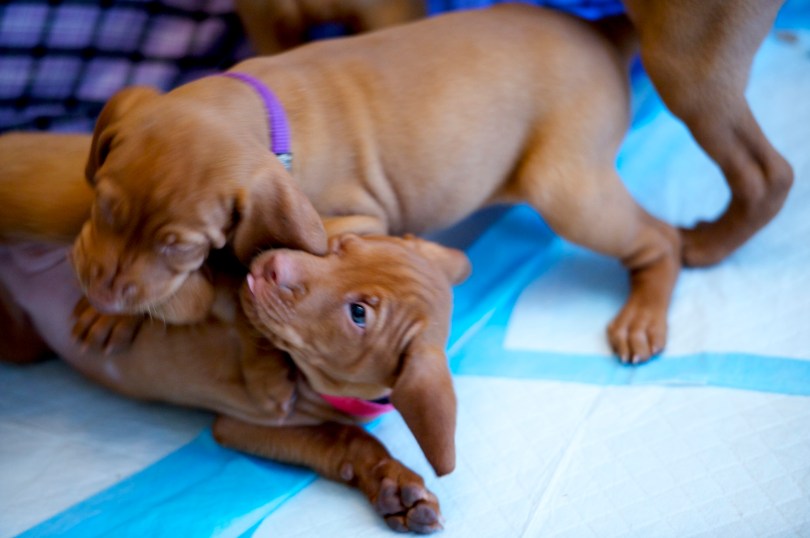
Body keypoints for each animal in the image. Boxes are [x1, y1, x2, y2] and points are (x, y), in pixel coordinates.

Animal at [0, 132, 471, 532]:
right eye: (344, 246)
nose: (271, 265)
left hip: (23, 343)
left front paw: (396, 487)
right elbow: (224, 297)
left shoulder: (245, 426)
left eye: (358, 314)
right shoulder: (221, 291)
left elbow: (345, 437)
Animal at [77, 5, 678, 363]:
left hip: (567, 190)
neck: (266, 109)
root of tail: (602, 29)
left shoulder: (358, 222)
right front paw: (103, 314)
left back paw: (643, 316)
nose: (103, 291)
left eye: (179, 247)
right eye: (102, 207)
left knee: (660, 239)